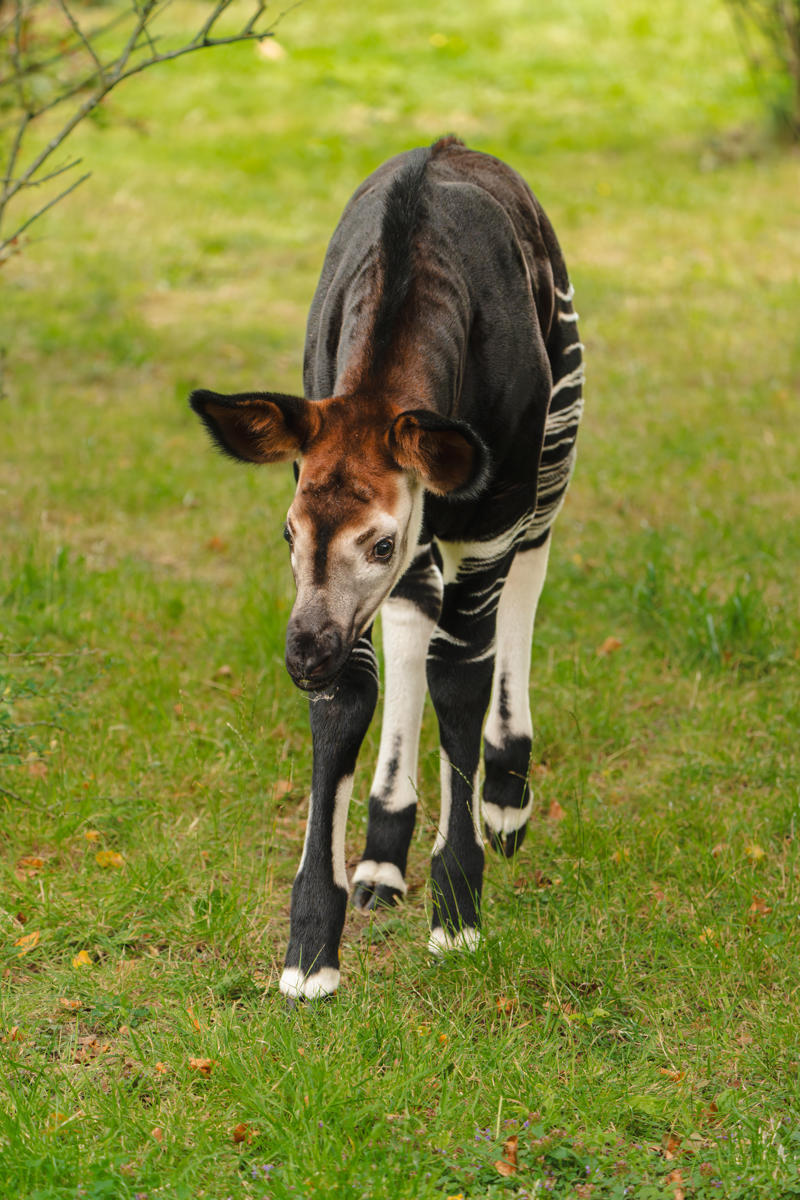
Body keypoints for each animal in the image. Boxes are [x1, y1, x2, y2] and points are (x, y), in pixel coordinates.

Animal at [190, 137, 583, 999]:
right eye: (286, 530)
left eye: (377, 541)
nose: (303, 656)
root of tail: (459, 144)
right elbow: (353, 700)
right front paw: (311, 948)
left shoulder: (486, 523)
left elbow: (461, 681)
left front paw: (459, 912)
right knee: (411, 623)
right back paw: (382, 854)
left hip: (553, 448)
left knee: (527, 581)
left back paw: (507, 796)